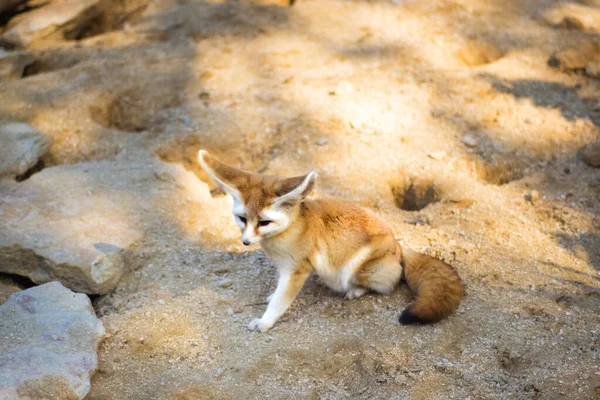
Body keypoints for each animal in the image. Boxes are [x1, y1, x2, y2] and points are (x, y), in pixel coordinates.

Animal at [198, 150, 464, 332]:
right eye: (242, 218)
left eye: (264, 222)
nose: (245, 242)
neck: (293, 228)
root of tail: (399, 247)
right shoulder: (284, 269)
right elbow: (278, 291)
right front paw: (271, 297)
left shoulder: (296, 271)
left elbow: (281, 302)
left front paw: (265, 322)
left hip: (354, 269)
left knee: (386, 285)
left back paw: (356, 291)